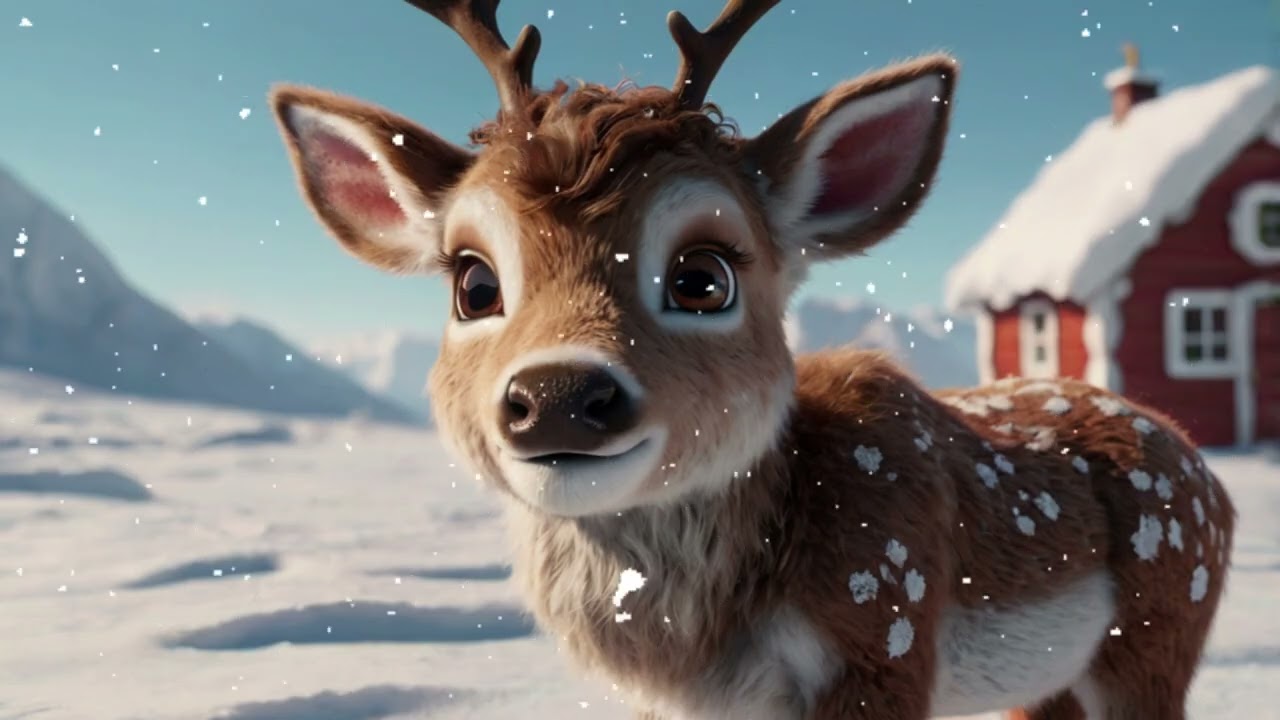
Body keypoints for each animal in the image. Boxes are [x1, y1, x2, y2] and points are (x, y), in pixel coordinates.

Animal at [269, 1, 1236, 718]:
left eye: (703, 275)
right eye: (473, 283)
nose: (557, 394)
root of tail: (1202, 469)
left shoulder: (883, 635)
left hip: (1159, 628)